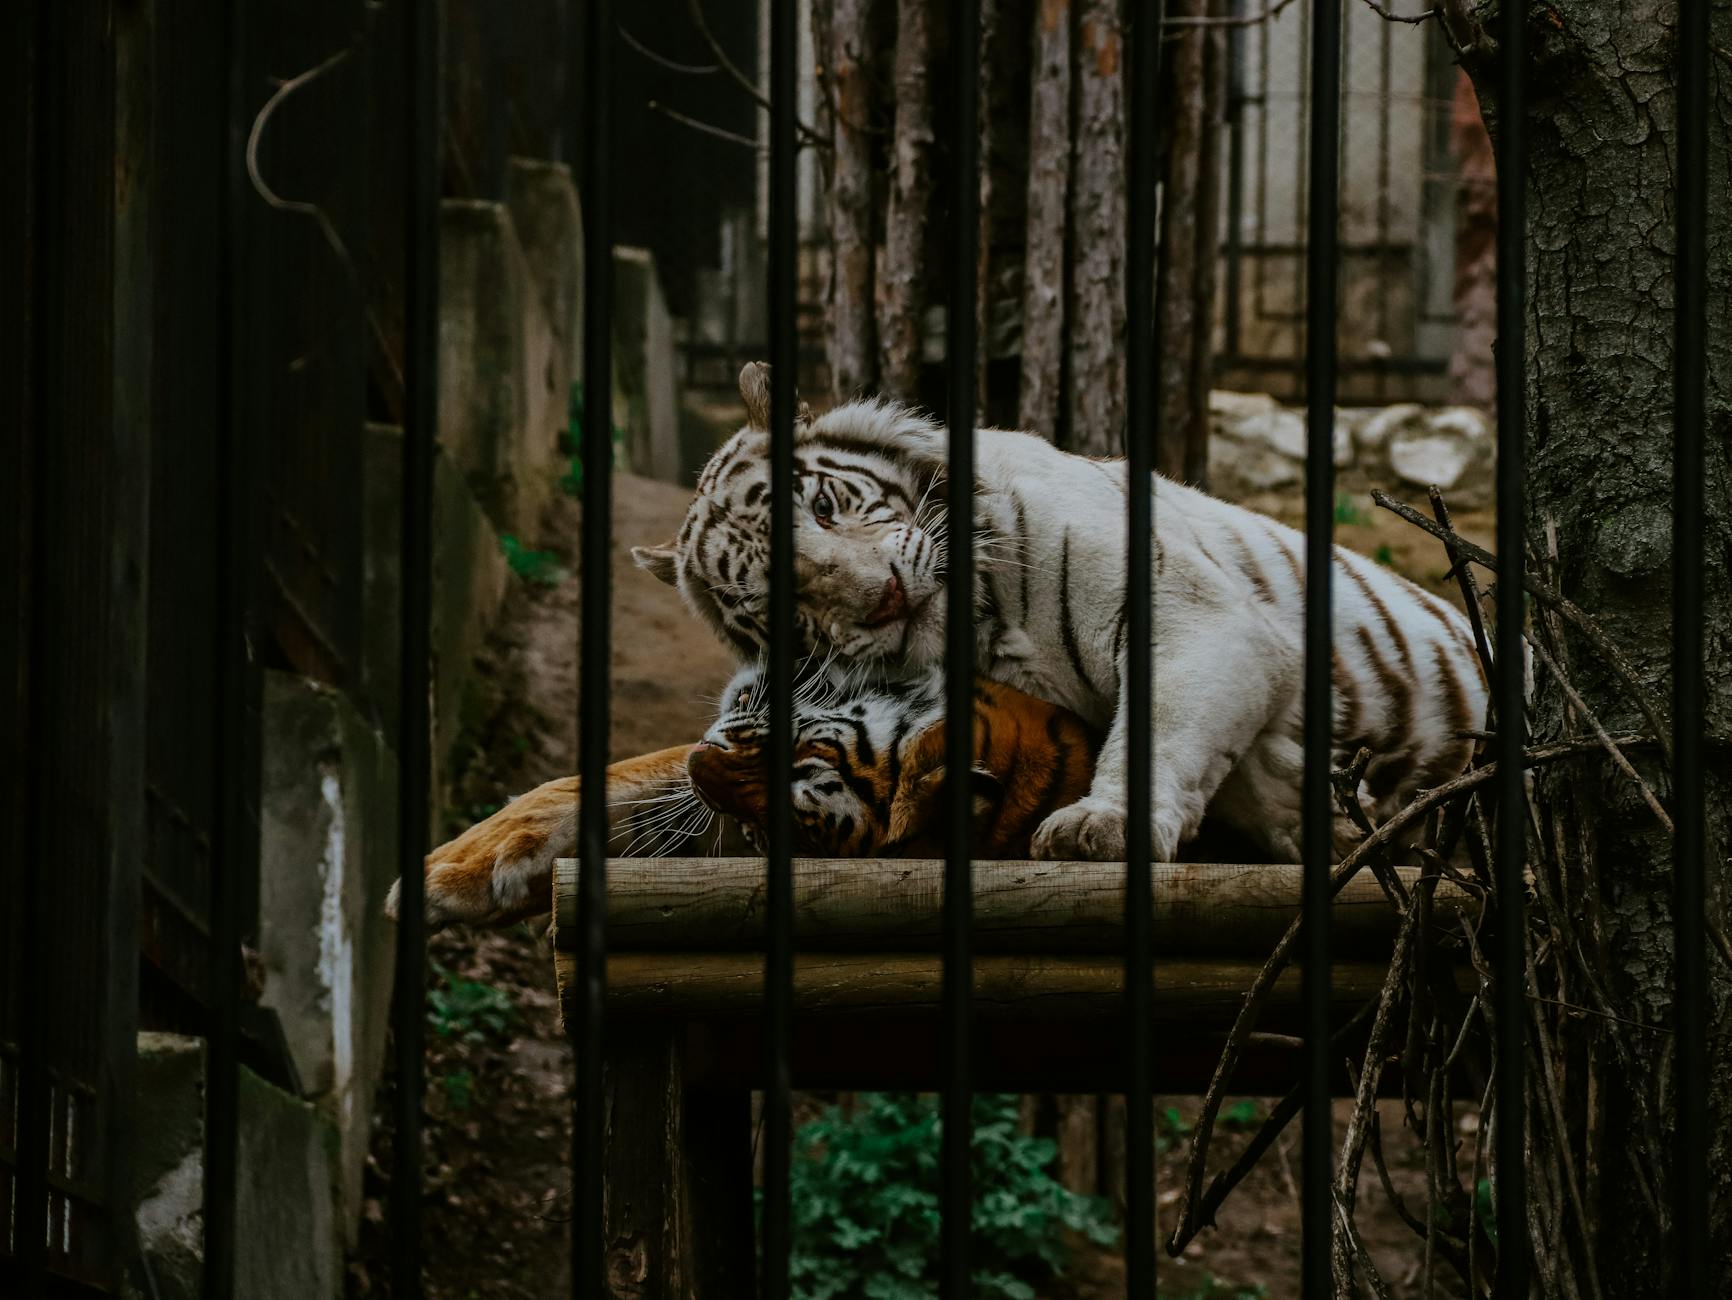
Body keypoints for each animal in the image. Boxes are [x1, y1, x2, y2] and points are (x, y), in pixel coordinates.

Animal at [637, 363, 1489, 865]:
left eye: (821, 505)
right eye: (773, 603)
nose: (884, 599)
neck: (986, 625)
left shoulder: (1200, 616)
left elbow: (1158, 729)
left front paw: (1102, 826)